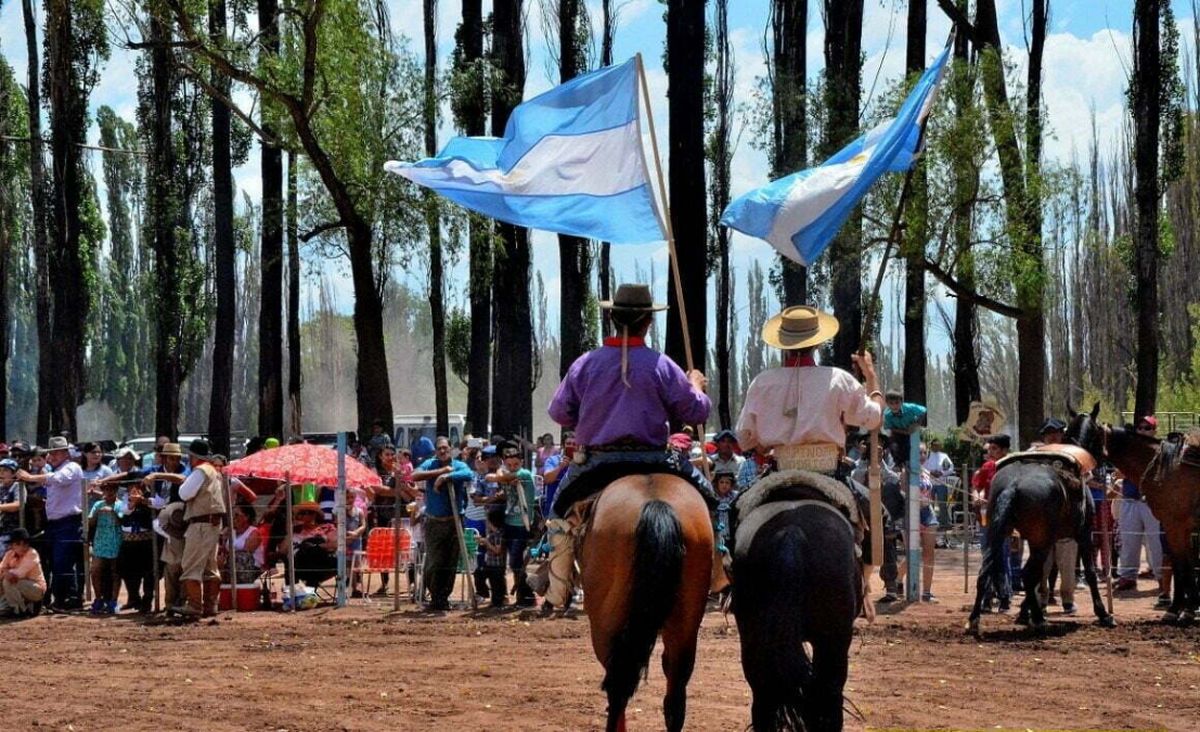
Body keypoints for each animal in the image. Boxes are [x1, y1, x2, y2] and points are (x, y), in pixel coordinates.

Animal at [964, 400, 1113, 628]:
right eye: (1099, 431)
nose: (1106, 458)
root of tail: (1012, 486)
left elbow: (1041, 576)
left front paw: (1024, 613)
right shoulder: (1083, 534)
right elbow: (1089, 572)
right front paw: (1103, 613)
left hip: (998, 535)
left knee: (987, 573)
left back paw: (975, 618)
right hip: (1039, 542)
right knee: (1028, 574)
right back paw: (1039, 618)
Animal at [1080, 410, 1200, 619]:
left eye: (1089, 434)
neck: (1165, 467)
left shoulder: (1175, 526)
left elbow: (1181, 566)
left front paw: (1179, 608)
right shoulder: (1178, 528)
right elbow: (1183, 566)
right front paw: (1185, 607)